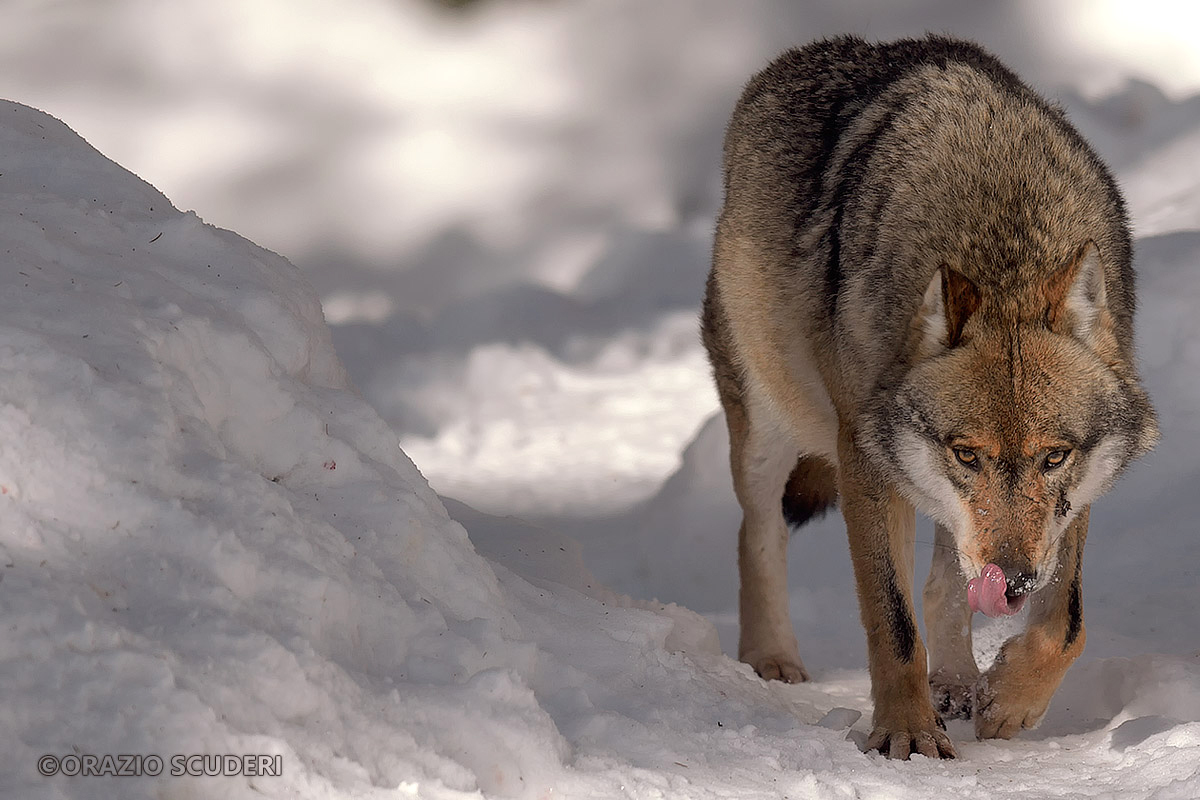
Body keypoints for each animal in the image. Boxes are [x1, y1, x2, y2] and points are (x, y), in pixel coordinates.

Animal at [701, 35, 1158, 759]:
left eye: (1054, 457)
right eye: (966, 453)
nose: (1014, 579)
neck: (1002, 242)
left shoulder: (1078, 492)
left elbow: (1067, 621)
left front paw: (1008, 701)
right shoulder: (865, 460)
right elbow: (892, 622)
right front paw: (908, 735)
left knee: (946, 582)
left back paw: (959, 683)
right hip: (768, 429)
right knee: (759, 530)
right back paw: (772, 659)